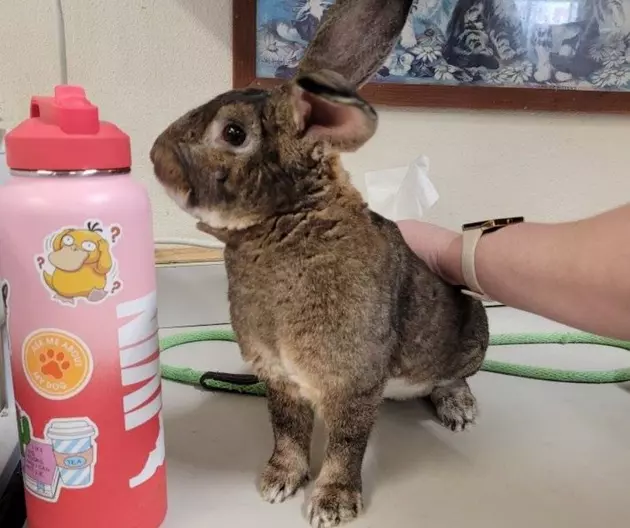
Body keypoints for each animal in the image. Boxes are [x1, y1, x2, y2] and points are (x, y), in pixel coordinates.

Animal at [151, 1, 492, 528]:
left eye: (234, 133)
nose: (154, 156)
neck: (288, 220)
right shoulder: (280, 377)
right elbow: (288, 430)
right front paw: (277, 483)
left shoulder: (350, 381)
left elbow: (346, 445)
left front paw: (332, 504)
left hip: (472, 335)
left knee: (452, 375)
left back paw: (458, 407)